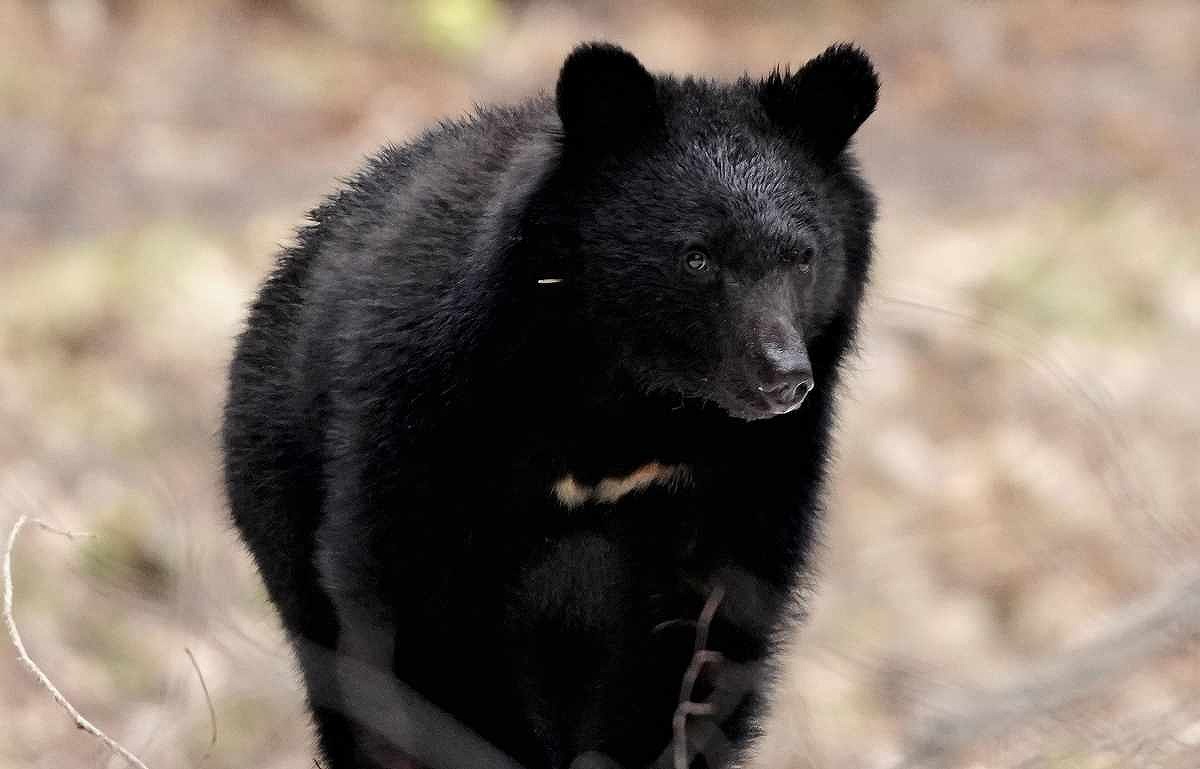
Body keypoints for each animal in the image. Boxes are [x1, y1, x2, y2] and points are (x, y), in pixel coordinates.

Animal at [225, 40, 878, 767]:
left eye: (803, 257)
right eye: (697, 258)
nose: (783, 376)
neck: (624, 393)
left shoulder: (754, 463)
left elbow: (709, 628)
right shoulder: (427, 404)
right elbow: (414, 604)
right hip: (278, 489)